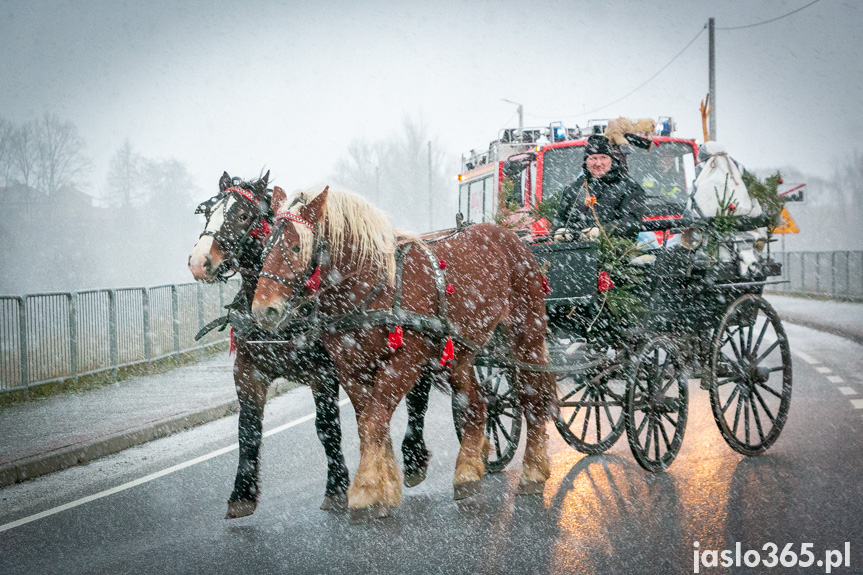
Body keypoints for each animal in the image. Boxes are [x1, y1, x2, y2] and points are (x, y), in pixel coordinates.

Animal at [253, 187, 556, 520]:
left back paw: (532, 471)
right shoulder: (351, 368)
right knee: (476, 404)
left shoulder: (404, 362)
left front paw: (365, 490)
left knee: (532, 397)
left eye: (296, 247)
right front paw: (384, 488)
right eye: (265, 248)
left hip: (526, 335)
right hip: (461, 352)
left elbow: (373, 421)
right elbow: (370, 423)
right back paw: (467, 472)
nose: (263, 310)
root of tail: (510, 236)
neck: (371, 287)